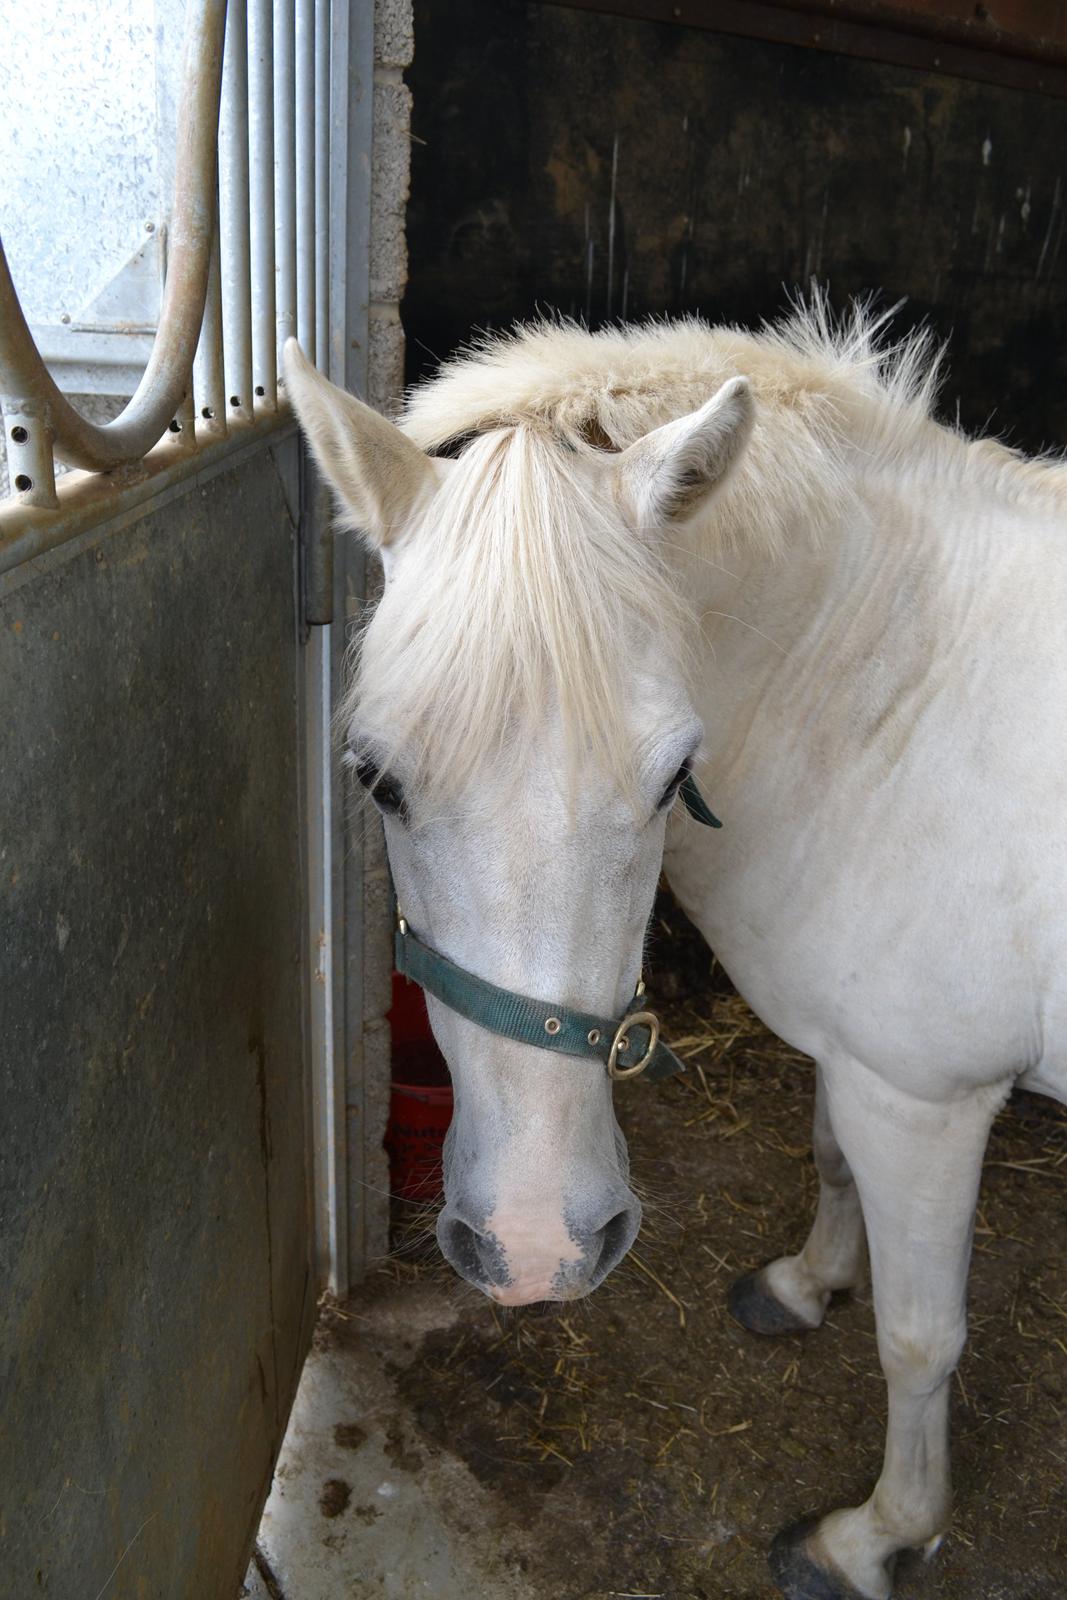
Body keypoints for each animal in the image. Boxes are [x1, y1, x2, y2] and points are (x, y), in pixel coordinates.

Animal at [282, 301, 1067, 1600]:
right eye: (374, 778)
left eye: (668, 778)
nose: (537, 1245)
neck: (895, 700)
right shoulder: (852, 1069)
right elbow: (826, 1162)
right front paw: (802, 1286)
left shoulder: (923, 1100)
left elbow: (916, 1338)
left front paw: (875, 1535)